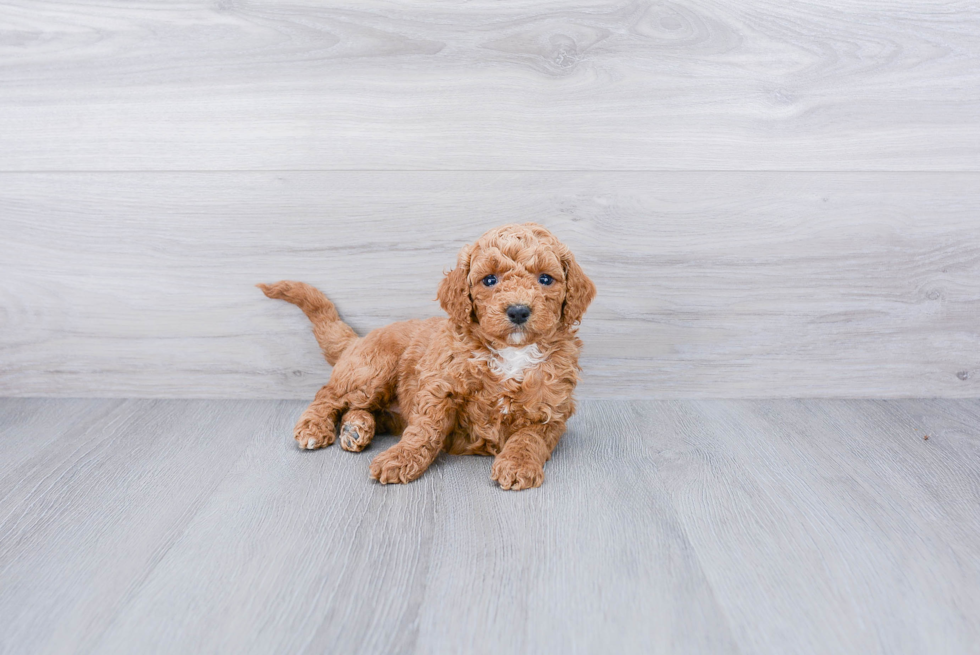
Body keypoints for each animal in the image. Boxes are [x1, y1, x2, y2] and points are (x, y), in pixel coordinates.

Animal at [260, 223, 592, 490]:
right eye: (489, 280)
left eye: (546, 279)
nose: (519, 311)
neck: (512, 353)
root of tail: (359, 340)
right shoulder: (440, 388)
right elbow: (424, 430)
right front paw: (399, 458)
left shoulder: (550, 410)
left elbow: (528, 439)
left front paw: (518, 465)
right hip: (371, 370)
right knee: (328, 395)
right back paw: (315, 428)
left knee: (363, 410)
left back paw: (356, 428)